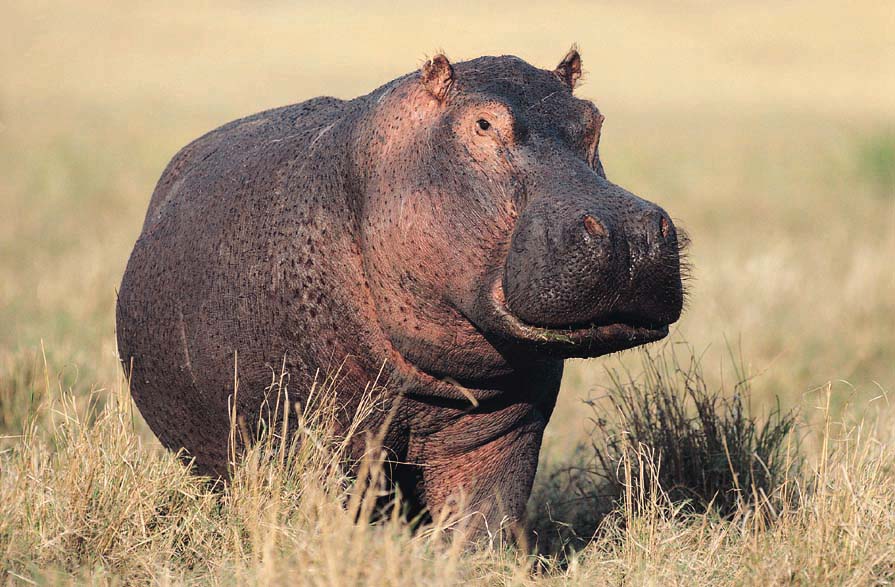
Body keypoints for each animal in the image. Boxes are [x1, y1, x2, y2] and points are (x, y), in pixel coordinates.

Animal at [116, 48, 685, 538]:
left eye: (595, 120)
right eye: (482, 124)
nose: (629, 233)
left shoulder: (504, 431)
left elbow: (484, 518)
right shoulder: (320, 430)